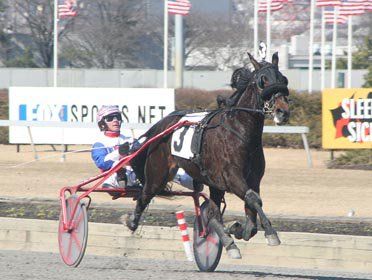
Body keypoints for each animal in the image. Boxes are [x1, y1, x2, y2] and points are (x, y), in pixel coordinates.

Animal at [126, 52, 290, 258]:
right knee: (146, 193)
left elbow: (251, 219)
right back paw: (132, 221)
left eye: (283, 79)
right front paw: (270, 232)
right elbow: (253, 199)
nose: (282, 111)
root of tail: (164, 123)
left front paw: (237, 229)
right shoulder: (231, 177)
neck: (240, 131)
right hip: (159, 173)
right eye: (263, 80)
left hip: (212, 183)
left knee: (212, 212)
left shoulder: (252, 180)